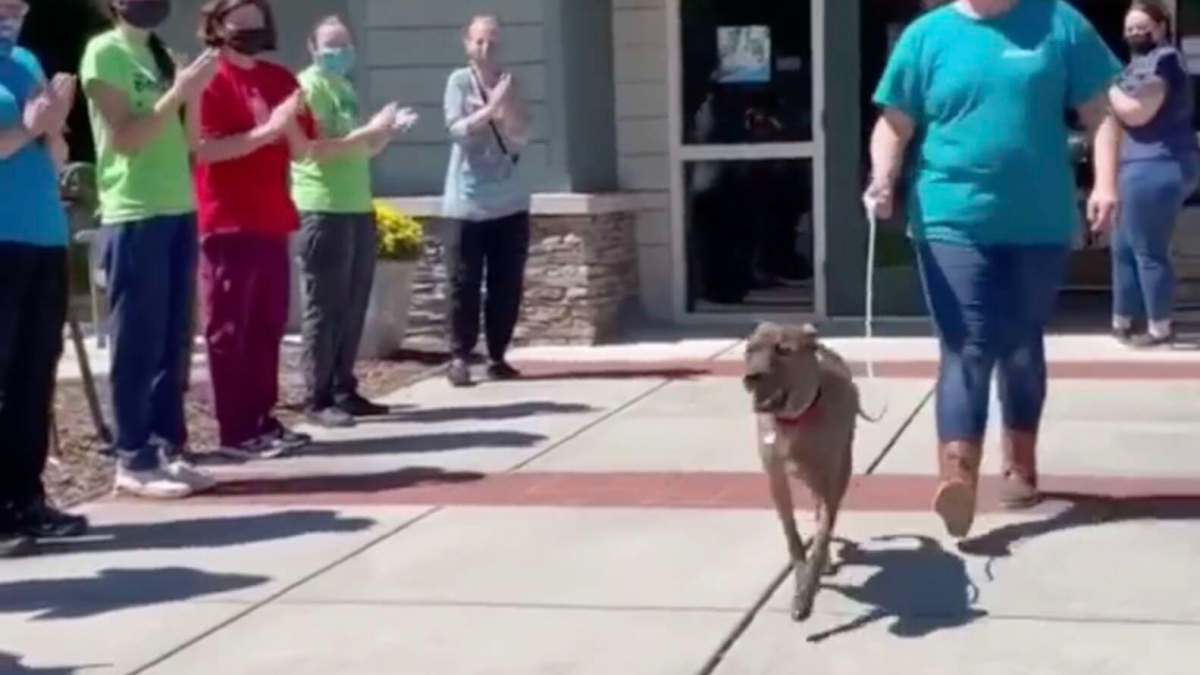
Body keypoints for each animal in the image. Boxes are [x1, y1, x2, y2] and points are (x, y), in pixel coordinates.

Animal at [739, 319, 864, 619]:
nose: (751, 377)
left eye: (783, 350)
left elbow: (822, 534)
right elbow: (793, 537)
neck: (795, 421)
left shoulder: (832, 478)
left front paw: (808, 589)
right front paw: (802, 580)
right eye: (749, 350)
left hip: (830, 471)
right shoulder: (776, 480)